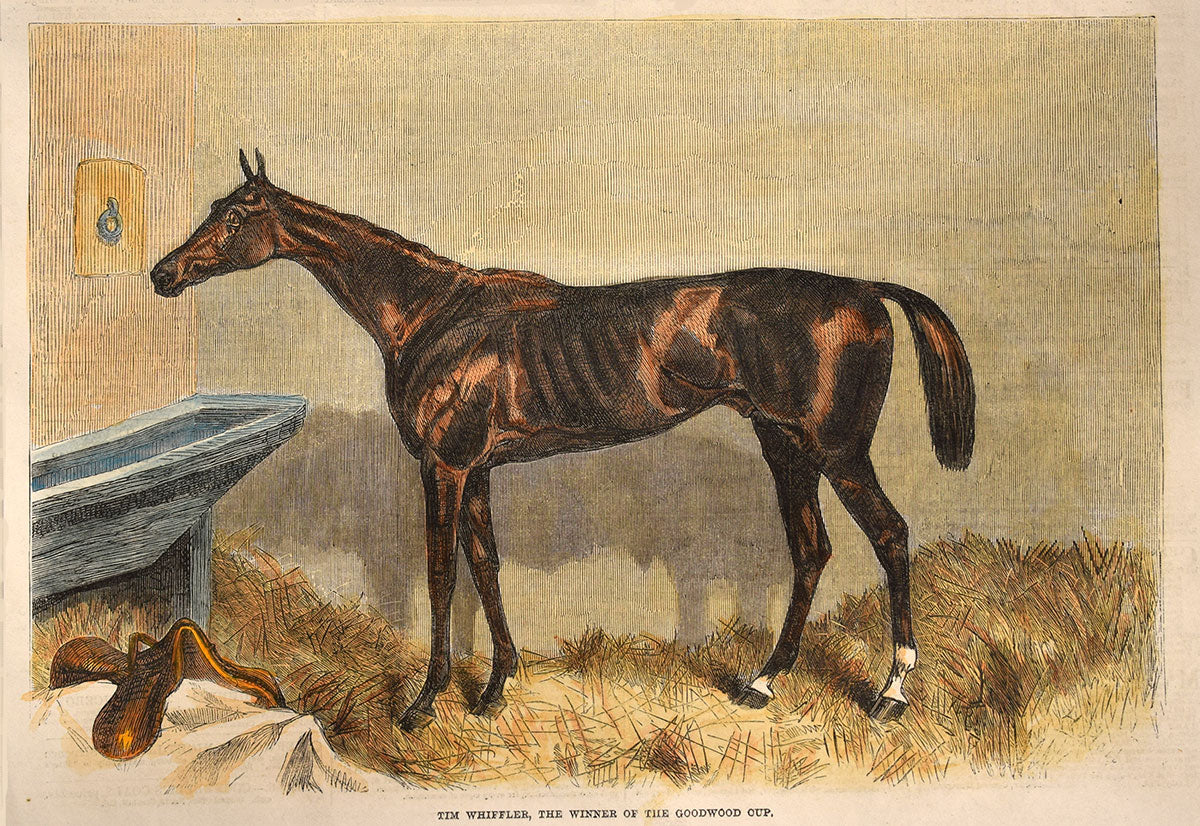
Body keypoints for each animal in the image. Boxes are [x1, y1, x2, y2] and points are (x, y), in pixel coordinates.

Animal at [151, 150, 975, 731]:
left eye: (234, 216)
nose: (164, 272)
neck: (434, 312)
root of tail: (865, 290)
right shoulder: (477, 468)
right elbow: (485, 564)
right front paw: (495, 685)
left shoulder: (443, 466)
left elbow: (441, 575)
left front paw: (424, 704)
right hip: (785, 447)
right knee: (812, 551)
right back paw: (763, 682)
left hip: (837, 451)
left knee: (890, 536)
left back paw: (892, 692)